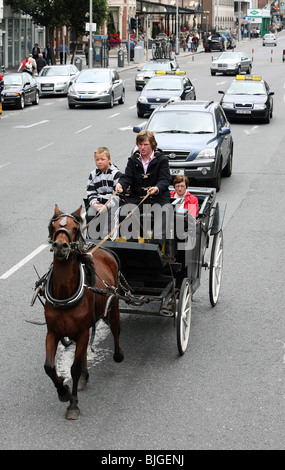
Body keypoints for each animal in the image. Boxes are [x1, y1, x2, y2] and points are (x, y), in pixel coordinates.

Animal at [43, 205, 122, 418]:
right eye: (53, 226)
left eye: (74, 228)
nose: (60, 246)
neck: (65, 292)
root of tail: (103, 248)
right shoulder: (53, 331)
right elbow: (49, 367)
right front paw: (63, 390)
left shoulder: (82, 331)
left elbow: (75, 368)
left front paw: (73, 404)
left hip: (114, 304)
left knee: (116, 328)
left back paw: (118, 355)